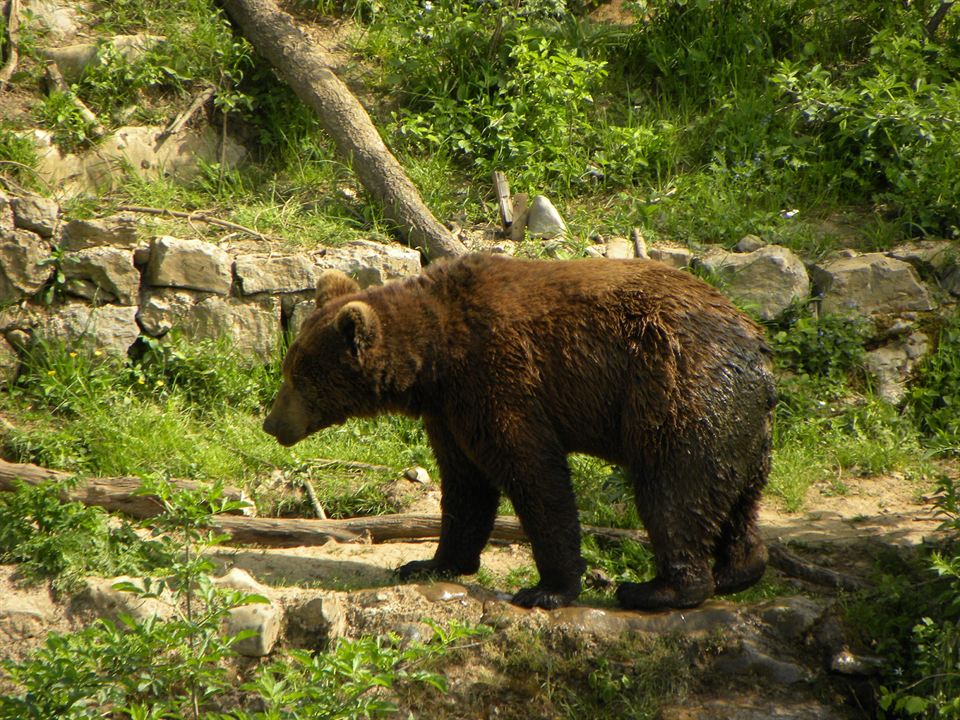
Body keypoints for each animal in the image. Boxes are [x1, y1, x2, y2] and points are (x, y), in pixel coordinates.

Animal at [264, 256, 780, 612]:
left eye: (298, 378)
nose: (272, 424)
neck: (436, 358)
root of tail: (758, 348)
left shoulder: (499, 378)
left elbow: (533, 474)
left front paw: (547, 588)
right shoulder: (449, 410)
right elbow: (465, 484)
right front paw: (429, 562)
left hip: (677, 394)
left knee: (672, 491)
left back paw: (656, 589)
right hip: (742, 427)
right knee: (735, 499)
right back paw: (740, 569)